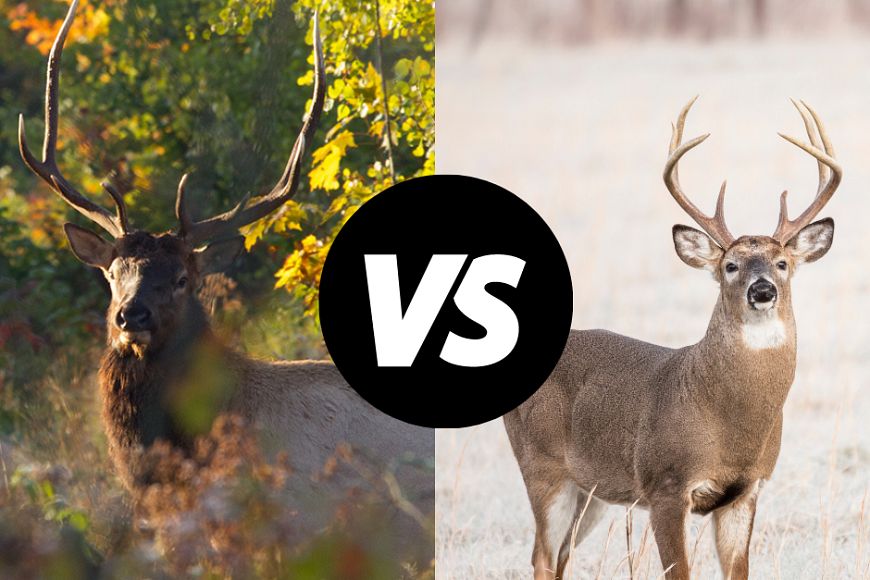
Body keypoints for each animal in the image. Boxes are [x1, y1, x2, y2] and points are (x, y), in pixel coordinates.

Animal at [504, 97, 844, 576]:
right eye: (730, 266)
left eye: (782, 263)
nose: (762, 291)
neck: (728, 422)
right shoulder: (664, 483)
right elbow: (677, 571)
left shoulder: (747, 491)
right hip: (542, 465)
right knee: (542, 556)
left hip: (592, 489)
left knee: (561, 555)